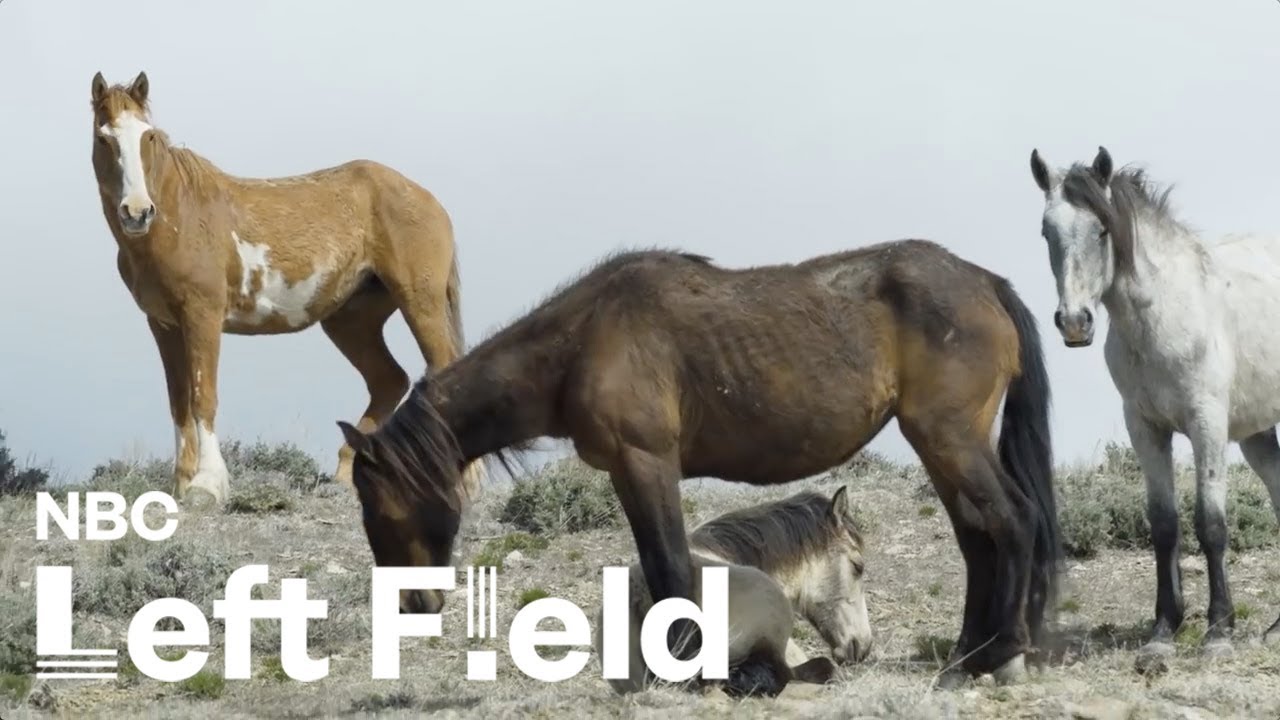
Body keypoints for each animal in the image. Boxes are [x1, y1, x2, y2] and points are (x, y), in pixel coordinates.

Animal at [88, 71, 483, 508]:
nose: (137, 212)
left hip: (420, 302)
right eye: (104, 137)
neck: (180, 218)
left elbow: (203, 396)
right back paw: (345, 475)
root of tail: (429, 200)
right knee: (389, 380)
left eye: (149, 136)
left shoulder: (202, 315)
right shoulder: (164, 324)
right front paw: (182, 485)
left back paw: (469, 483)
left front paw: (208, 485)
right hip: (350, 321)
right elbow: (179, 402)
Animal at [1029, 146, 1280, 658]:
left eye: (1102, 229)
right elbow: (1164, 524)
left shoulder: (1207, 425)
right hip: (1258, 436)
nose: (1074, 322)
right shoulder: (1144, 428)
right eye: (1047, 231)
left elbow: (1211, 523)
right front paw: (1164, 630)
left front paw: (1218, 631)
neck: (1165, 316)